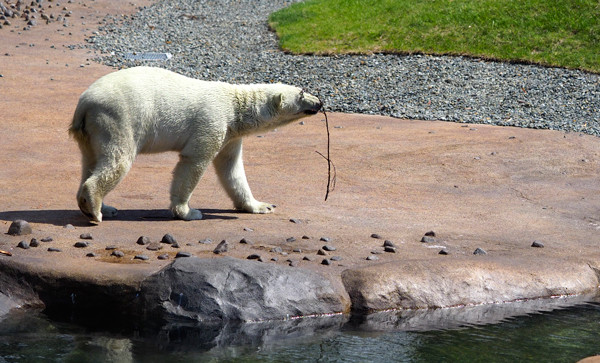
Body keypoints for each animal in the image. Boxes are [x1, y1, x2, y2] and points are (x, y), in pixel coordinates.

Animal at [68, 67, 324, 223]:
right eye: (302, 93)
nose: (320, 102)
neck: (235, 107)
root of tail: (84, 104)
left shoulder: (231, 135)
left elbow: (231, 168)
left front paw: (260, 205)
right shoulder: (212, 122)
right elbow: (194, 162)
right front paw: (188, 211)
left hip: (91, 131)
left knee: (91, 161)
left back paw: (100, 206)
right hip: (119, 118)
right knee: (118, 160)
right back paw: (96, 209)